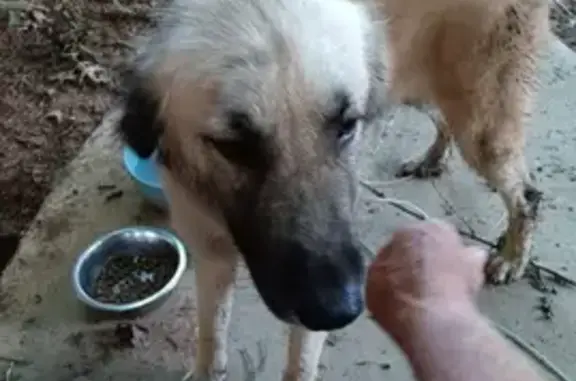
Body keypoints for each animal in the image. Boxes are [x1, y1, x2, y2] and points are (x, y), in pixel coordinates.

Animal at [117, 0, 548, 380]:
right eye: (234, 146)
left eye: (346, 125)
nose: (338, 310)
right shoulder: (210, 252)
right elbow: (211, 334)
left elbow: (298, 366)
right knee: (443, 122)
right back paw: (432, 159)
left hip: (480, 124)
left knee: (528, 194)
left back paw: (512, 257)